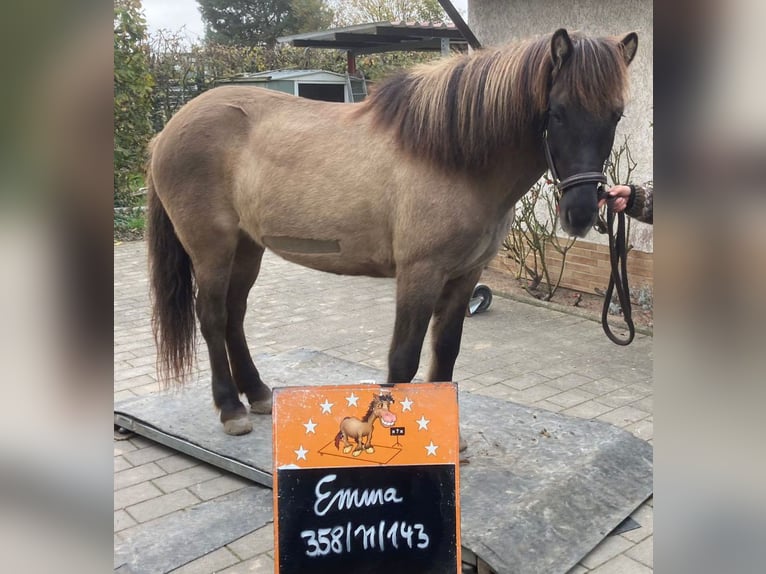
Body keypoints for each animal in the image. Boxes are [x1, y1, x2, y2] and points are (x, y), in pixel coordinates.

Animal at [146, 28, 638, 436]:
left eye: (616, 115)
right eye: (556, 112)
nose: (580, 212)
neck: (454, 159)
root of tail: (167, 132)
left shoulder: (465, 275)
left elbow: (446, 351)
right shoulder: (420, 273)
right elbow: (402, 359)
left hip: (248, 247)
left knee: (234, 314)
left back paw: (259, 394)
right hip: (211, 248)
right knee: (211, 316)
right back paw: (231, 409)